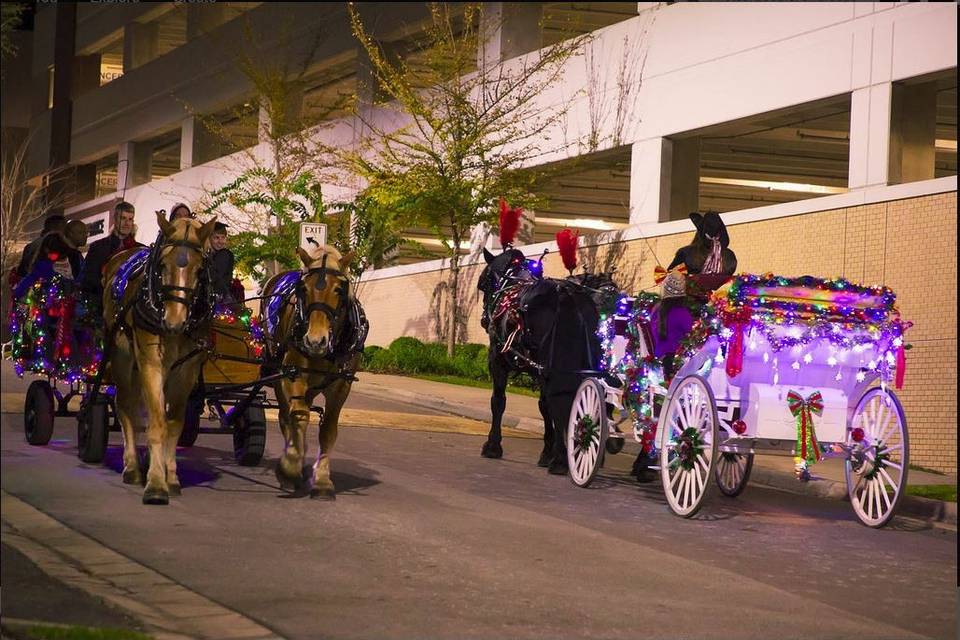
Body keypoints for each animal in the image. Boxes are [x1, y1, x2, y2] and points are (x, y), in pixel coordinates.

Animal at [104, 214, 218, 504]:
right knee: (127, 407)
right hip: (122, 356)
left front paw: (171, 477)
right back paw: (133, 466)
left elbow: (174, 423)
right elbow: (156, 423)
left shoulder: (187, 370)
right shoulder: (151, 362)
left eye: (200, 270)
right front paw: (155, 483)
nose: (174, 321)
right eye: (163, 265)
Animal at [262, 245, 360, 500]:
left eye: (339, 290)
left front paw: (323, 480)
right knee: (286, 415)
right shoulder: (293, 373)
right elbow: (299, 415)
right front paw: (290, 466)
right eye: (304, 289)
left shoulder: (341, 385)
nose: (315, 341)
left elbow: (328, 430)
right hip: (280, 375)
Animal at [478, 248, 612, 472]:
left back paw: (562, 459)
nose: (483, 319)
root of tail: (566, 294)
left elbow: (498, 401)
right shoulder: (537, 370)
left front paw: (493, 445)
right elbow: (543, 406)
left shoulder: (497, 360)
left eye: (483, 283)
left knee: (560, 398)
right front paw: (547, 451)